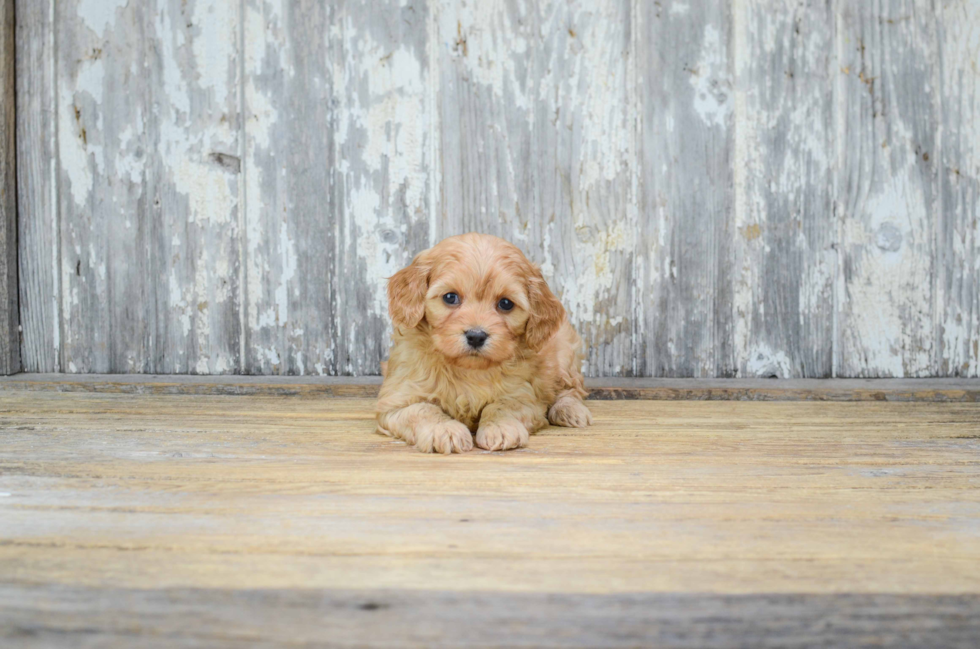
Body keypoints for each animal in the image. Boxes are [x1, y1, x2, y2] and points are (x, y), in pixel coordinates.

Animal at [376, 230, 588, 454]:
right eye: (450, 297)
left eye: (506, 303)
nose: (476, 336)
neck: (468, 369)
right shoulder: (396, 399)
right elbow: (423, 410)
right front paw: (445, 429)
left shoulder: (524, 396)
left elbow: (502, 406)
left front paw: (500, 427)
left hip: (564, 353)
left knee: (570, 389)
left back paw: (570, 410)